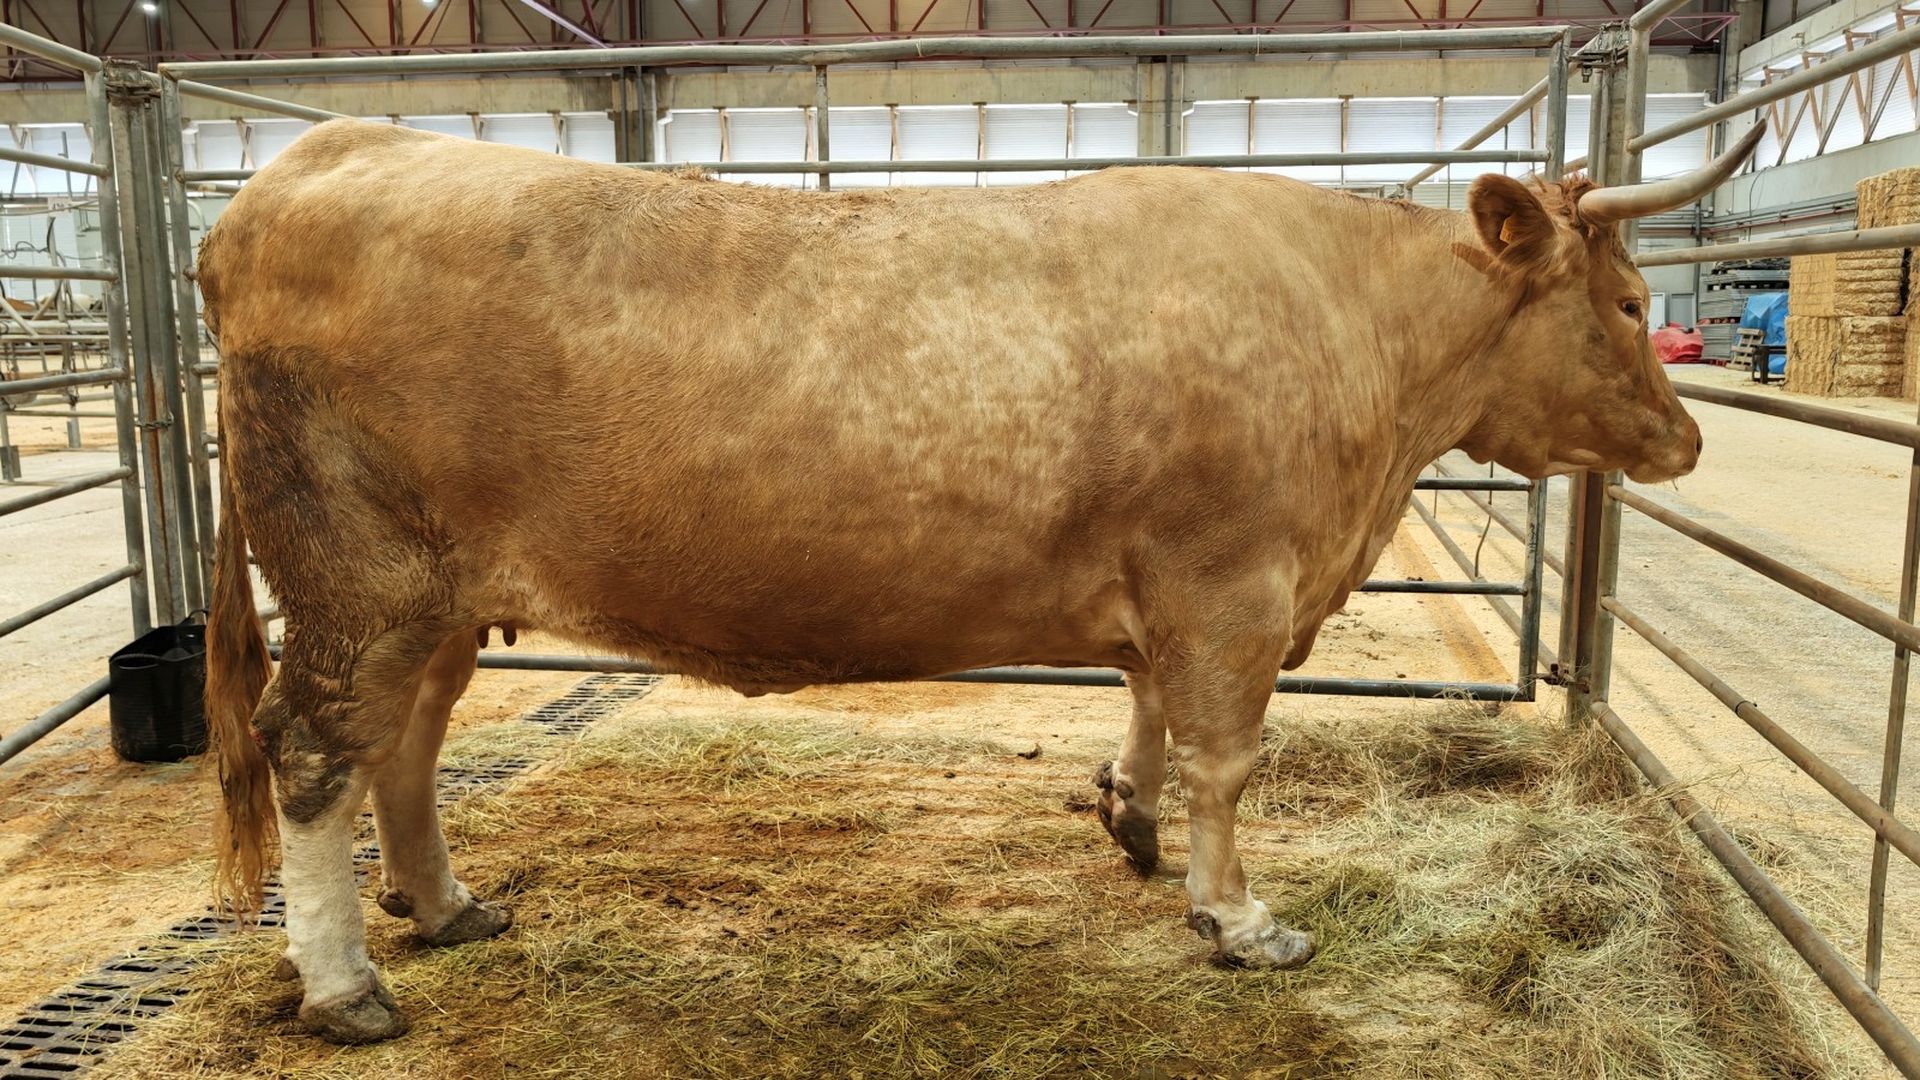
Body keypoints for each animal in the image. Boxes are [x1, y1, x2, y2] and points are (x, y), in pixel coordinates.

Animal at [201, 117, 1752, 1044]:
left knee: (407, 746)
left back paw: (447, 905)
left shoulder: (1172, 585)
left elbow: (1149, 709)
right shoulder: (1234, 583)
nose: (1687, 439)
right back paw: (346, 983)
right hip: (357, 579)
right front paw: (1241, 920)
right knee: (316, 756)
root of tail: (327, 149)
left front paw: (1127, 811)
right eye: (1627, 303)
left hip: (437, 601)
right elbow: (1229, 756)